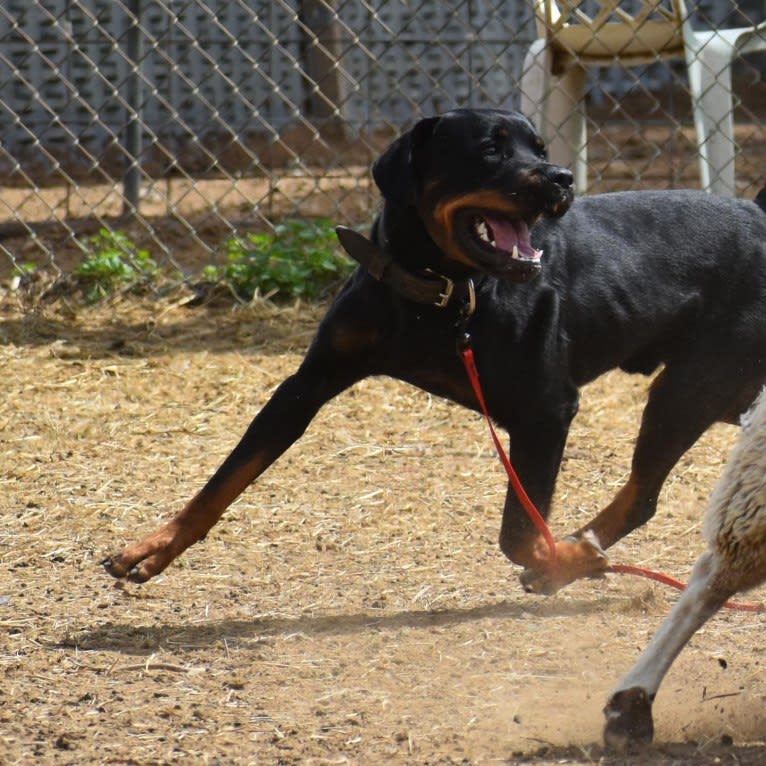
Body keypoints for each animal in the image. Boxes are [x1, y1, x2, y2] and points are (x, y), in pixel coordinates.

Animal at [105, 109, 766, 592]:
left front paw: (561, 557)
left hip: (688, 389)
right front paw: (154, 547)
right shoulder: (308, 383)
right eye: (492, 149)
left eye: (540, 148)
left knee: (643, 495)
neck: (444, 293)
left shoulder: (547, 410)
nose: (561, 178)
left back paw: (578, 553)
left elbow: (517, 531)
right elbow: (226, 476)